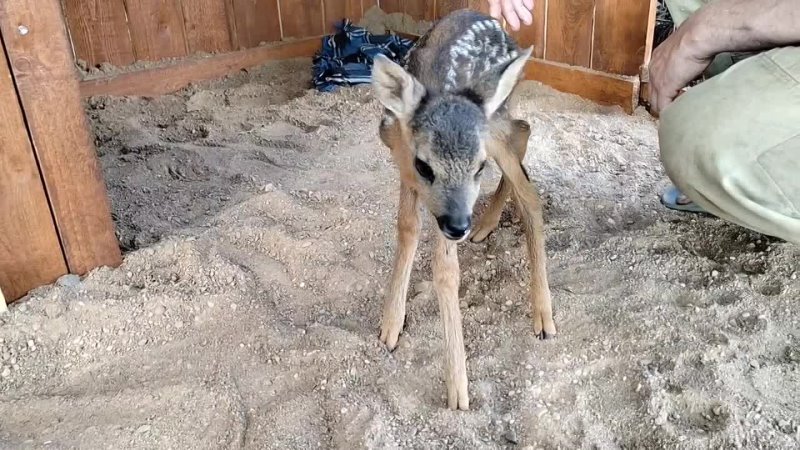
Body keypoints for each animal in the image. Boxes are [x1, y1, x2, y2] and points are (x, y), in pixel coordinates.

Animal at [370, 9, 552, 412]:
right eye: (425, 166)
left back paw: (543, 315)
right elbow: (407, 228)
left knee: (530, 190)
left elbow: (445, 271)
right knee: (524, 131)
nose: (458, 227)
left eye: (478, 167)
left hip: (495, 123)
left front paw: (458, 389)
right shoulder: (402, 163)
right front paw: (391, 324)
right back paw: (487, 223)